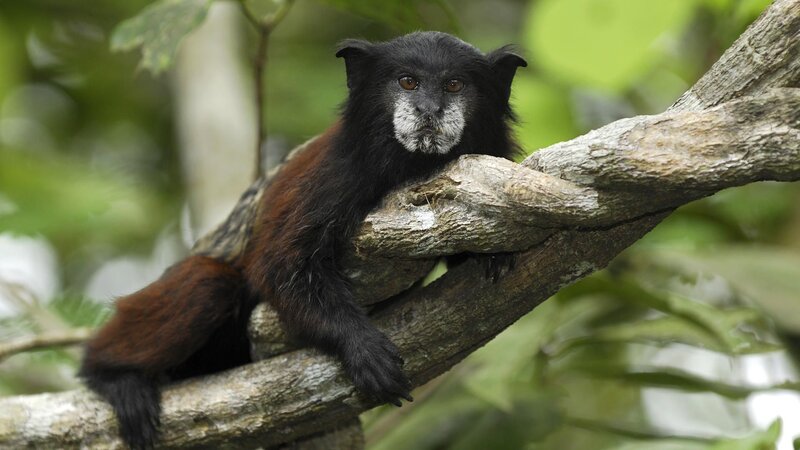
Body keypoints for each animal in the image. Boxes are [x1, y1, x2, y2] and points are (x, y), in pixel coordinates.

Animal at [79, 31, 526, 450]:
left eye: (453, 85)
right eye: (408, 82)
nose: (429, 111)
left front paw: (490, 255)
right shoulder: (332, 175)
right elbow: (280, 266)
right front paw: (360, 346)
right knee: (208, 284)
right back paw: (113, 375)